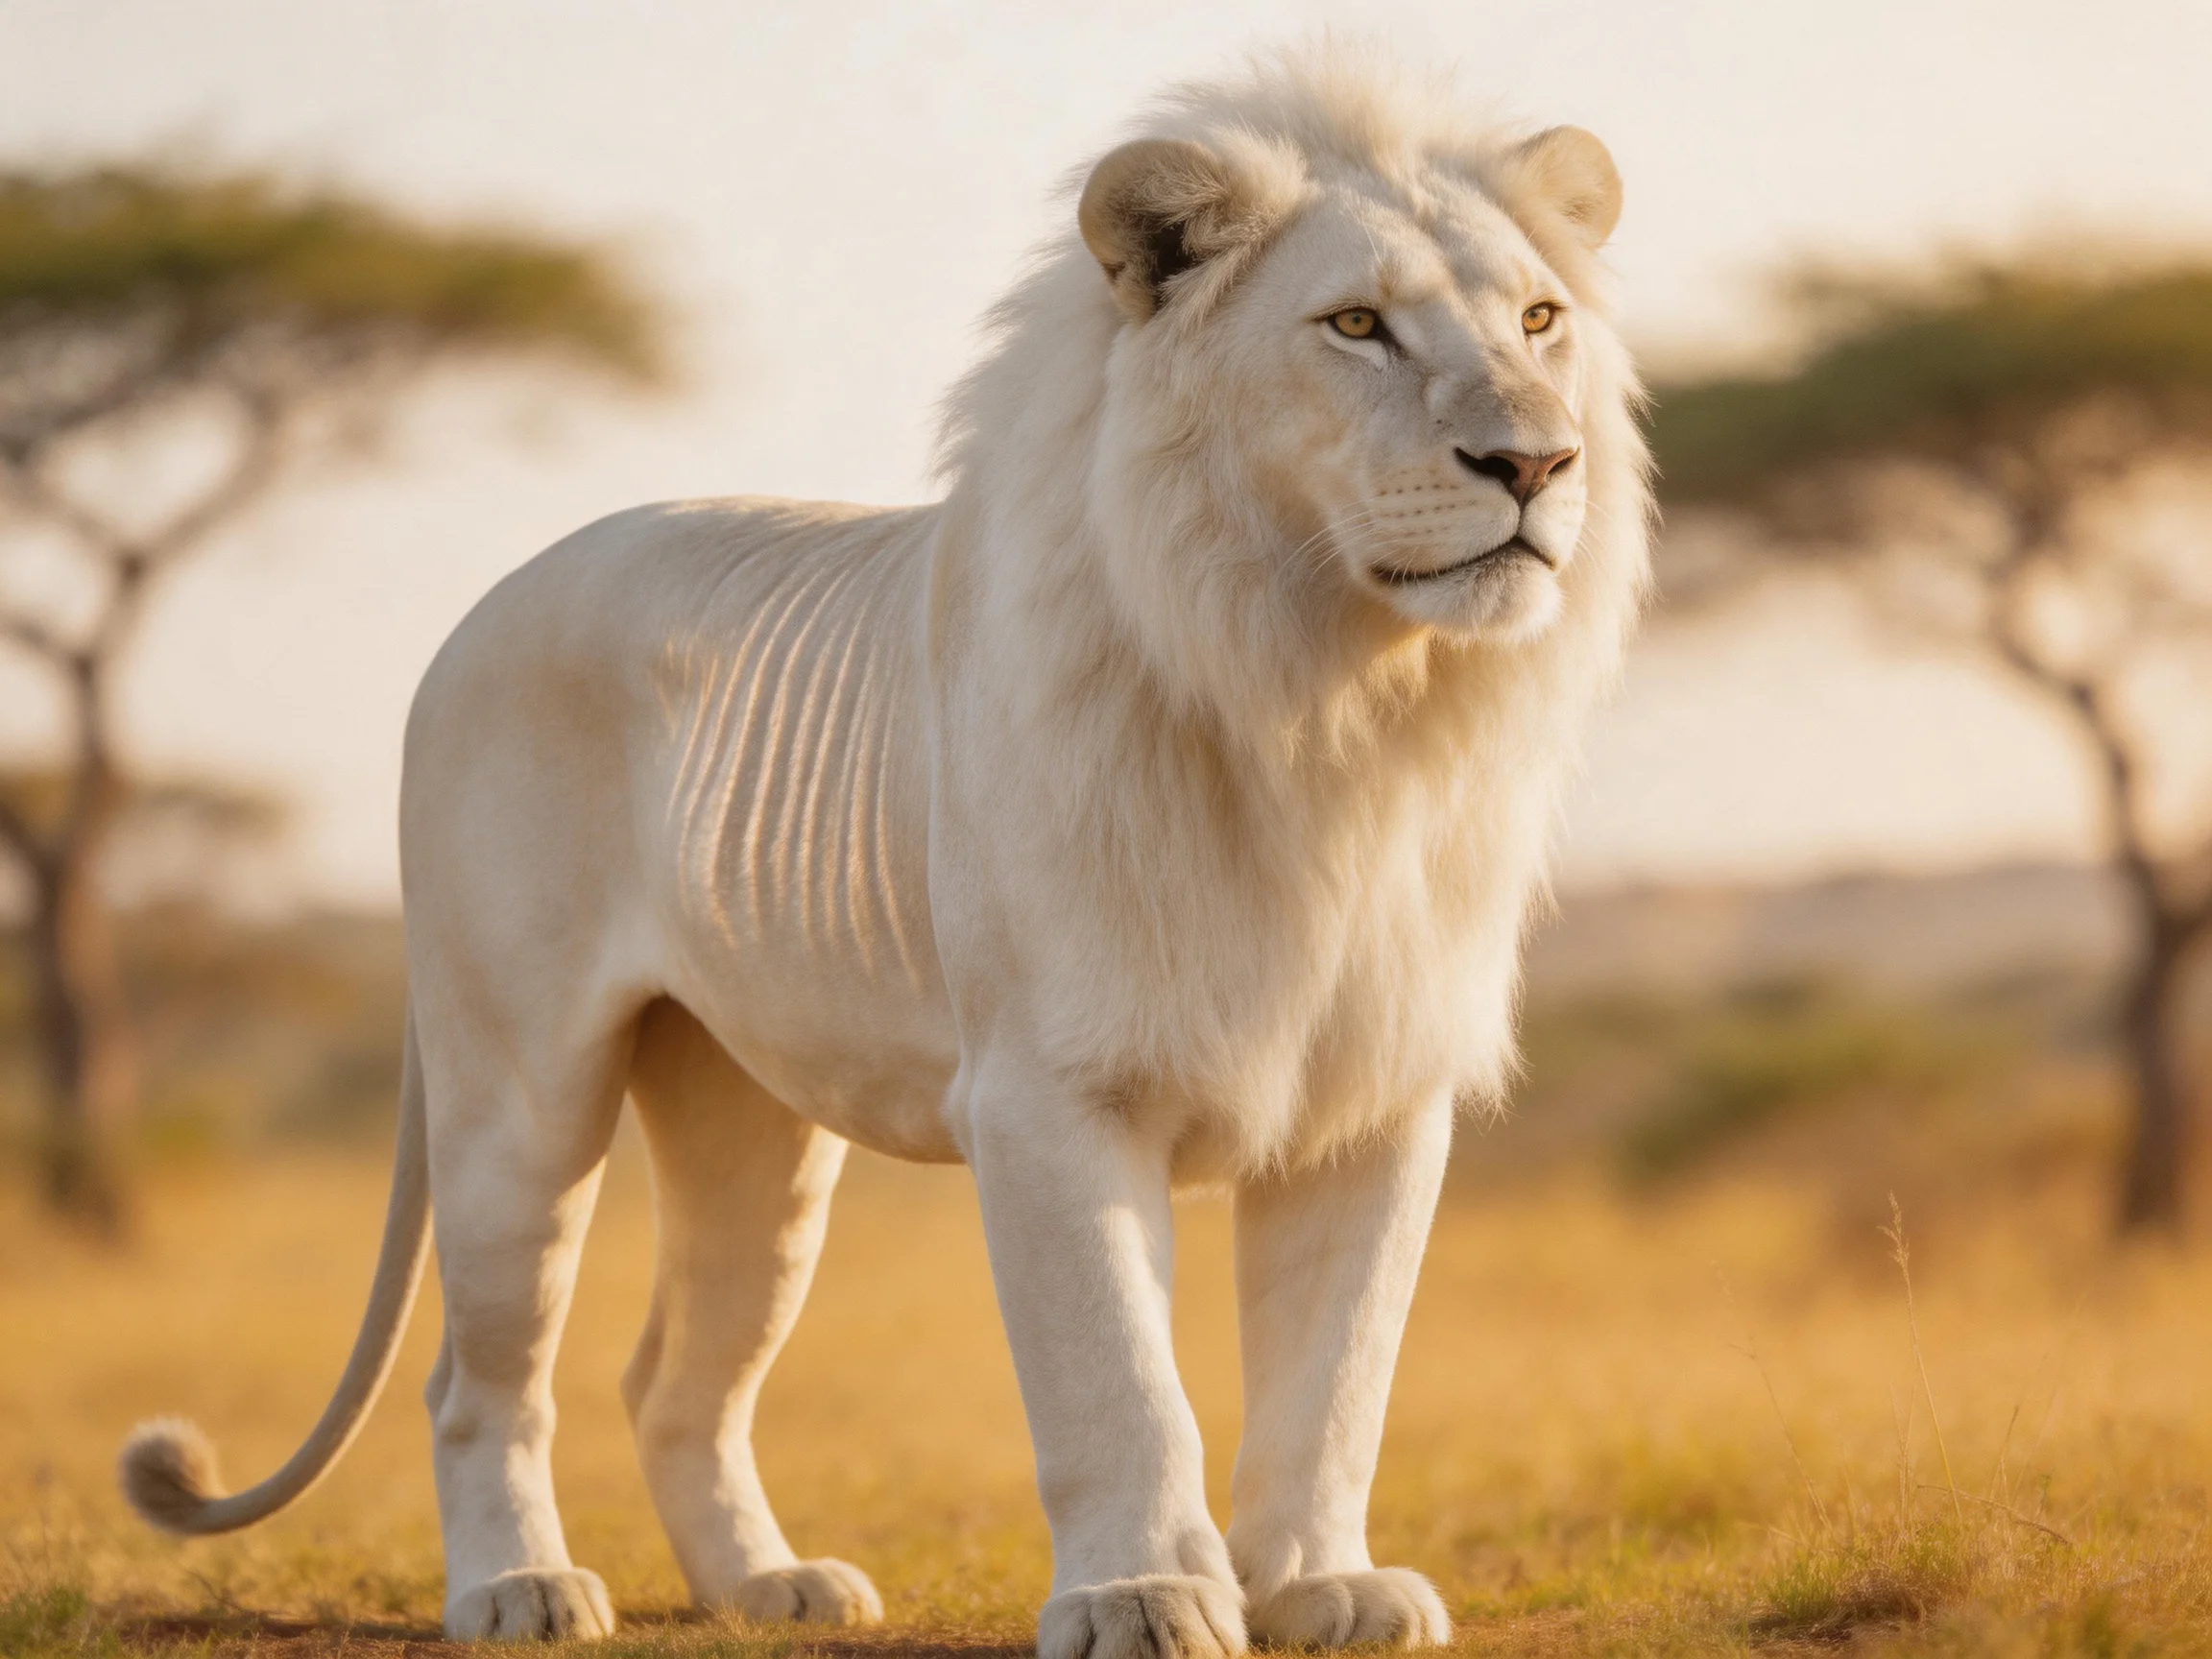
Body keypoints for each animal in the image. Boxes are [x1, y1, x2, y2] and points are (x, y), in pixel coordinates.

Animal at [118, 48, 1651, 1656]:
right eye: (1357, 325)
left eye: (1538, 320)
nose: (1537, 459)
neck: (1332, 697)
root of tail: (480, 611)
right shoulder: (1049, 1092)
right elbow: (1118, 1382)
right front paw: (1143, 1596)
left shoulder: (1375, 1096)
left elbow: (1337, 1376)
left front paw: (1317, 1585)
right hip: (516, 1095)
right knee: (481, 1379)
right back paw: (518, 1588)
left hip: (749, 1130)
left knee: (674, 1375)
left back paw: (767, 1586)